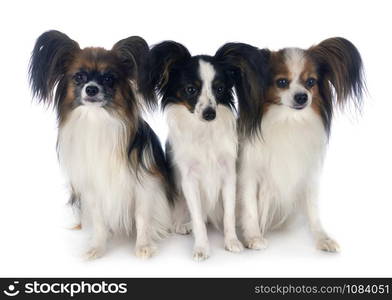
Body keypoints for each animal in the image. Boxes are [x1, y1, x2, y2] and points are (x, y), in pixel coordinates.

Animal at [28, 31, 172, 260]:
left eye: (108, 78)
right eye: (78, 77)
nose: (92, 89)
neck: (97, 118)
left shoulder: (145, 184)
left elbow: (142, 217)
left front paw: (143, 246)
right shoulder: (93, 187)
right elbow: (99, 221)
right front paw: (97, 247)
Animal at [139, 41, 262, 258]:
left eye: (219, 89)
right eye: (191, 89)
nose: (209, 113)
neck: (204, 132)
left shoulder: (228, 176)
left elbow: (229, 215)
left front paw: (232, 242)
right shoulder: (189, 180)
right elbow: (197, 218)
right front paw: (202, 247)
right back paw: (183, 224)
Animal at [222, 38, 366, 253]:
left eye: (311, 82)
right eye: (282, 82)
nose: (302, 97)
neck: (289, 120)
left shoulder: (308, 175)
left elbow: (313, 211)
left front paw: (323, 238)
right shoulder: (249, 174)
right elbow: (249, 208)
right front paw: (254, 237)